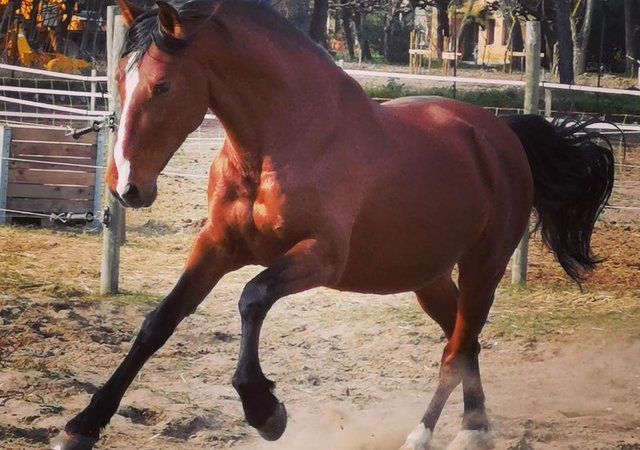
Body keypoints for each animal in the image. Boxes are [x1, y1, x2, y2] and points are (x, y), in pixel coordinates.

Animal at [50, 0, 614, 449]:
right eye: (117, 79)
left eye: (163, 85)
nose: (126, 186)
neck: (281, 143)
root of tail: (501, 133)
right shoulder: (217, 245)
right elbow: (158, 323)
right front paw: (81, 426)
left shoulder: (321, 257)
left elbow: (252, 297)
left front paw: (265, 411)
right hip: (428, 277)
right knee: (465, 341)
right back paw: (475, 429)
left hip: (484, 266)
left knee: (455, 352)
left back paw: (426, 434)